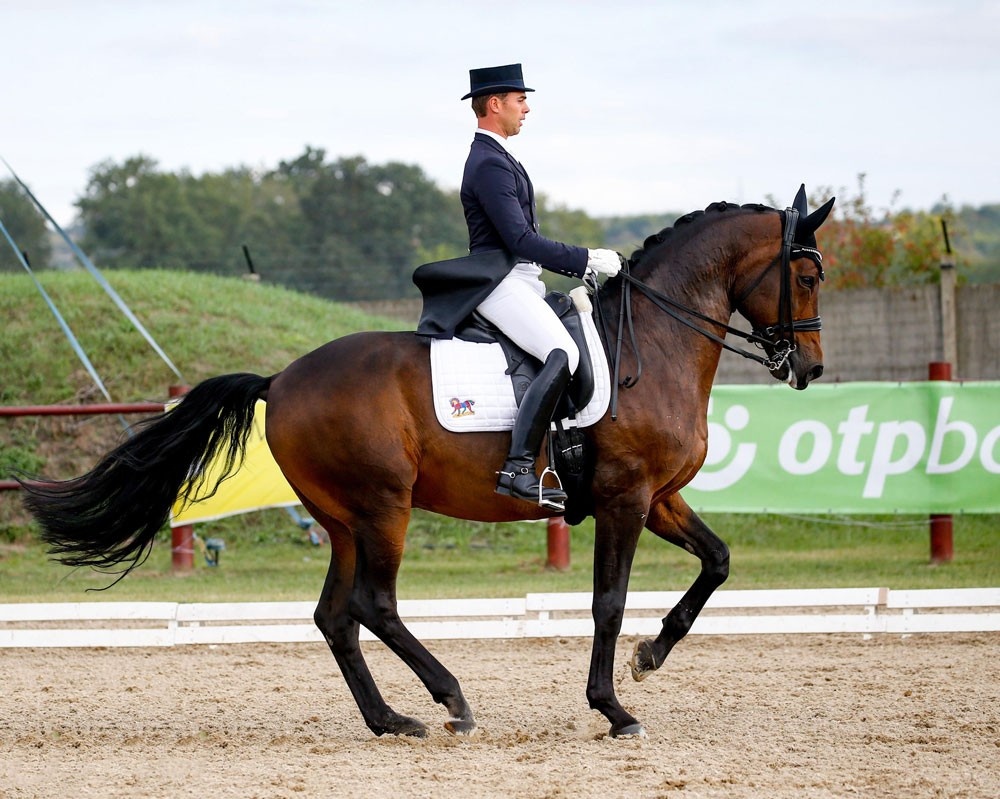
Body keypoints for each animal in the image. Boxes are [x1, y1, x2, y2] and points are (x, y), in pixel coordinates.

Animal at [23, 184, 836, 740]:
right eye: (806, 277)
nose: (810, 369)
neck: (655, 343)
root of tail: (280, 380)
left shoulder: (659, 497)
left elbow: (718, 560)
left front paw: (651, 655)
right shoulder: (625, 498)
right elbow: (607, 602)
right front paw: (614, 707)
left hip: (344, 519)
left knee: (335, 615)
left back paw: (392, 720)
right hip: (385, 506)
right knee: (373, 605)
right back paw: (450, 699)